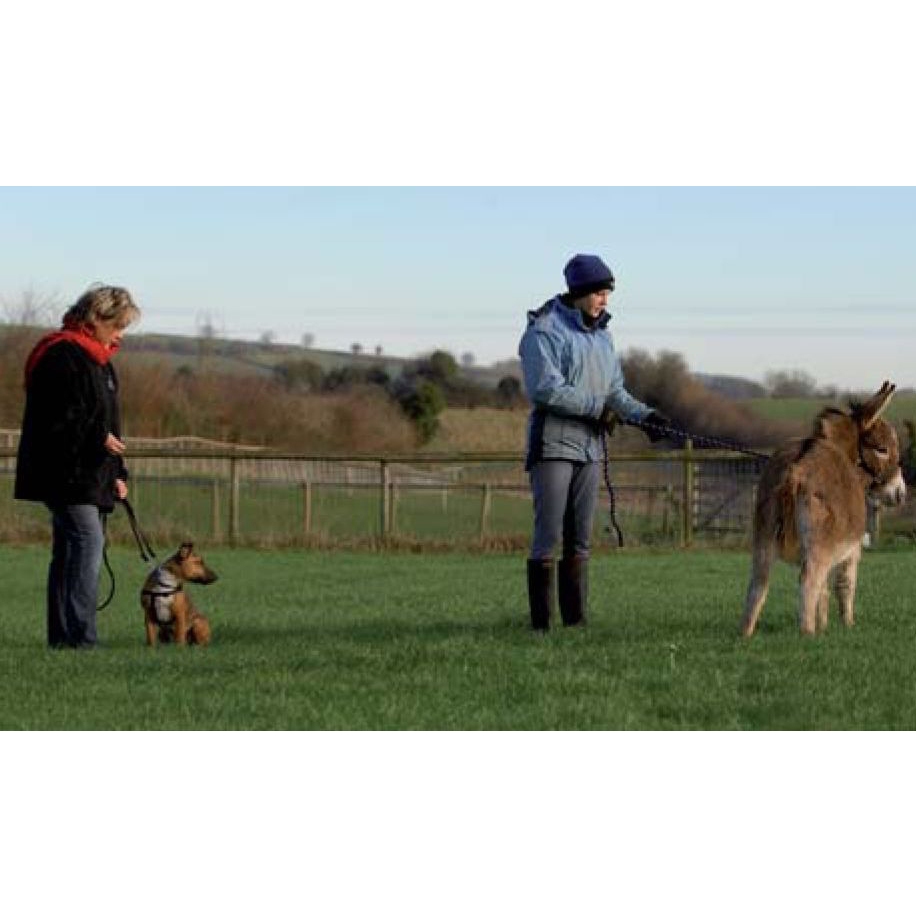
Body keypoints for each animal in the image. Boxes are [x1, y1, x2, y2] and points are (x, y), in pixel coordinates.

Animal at [741, 381, 906, 637]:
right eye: (882, 449)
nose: (900, 493)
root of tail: (795, 470)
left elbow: (824, 591)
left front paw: (824, 627)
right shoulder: (851, 548)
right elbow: (844, 586)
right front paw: (847, 625)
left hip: (763, 537)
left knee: (757, 586)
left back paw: (745, 634)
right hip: (817, 544)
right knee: (808, 581)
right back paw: (807, 635)